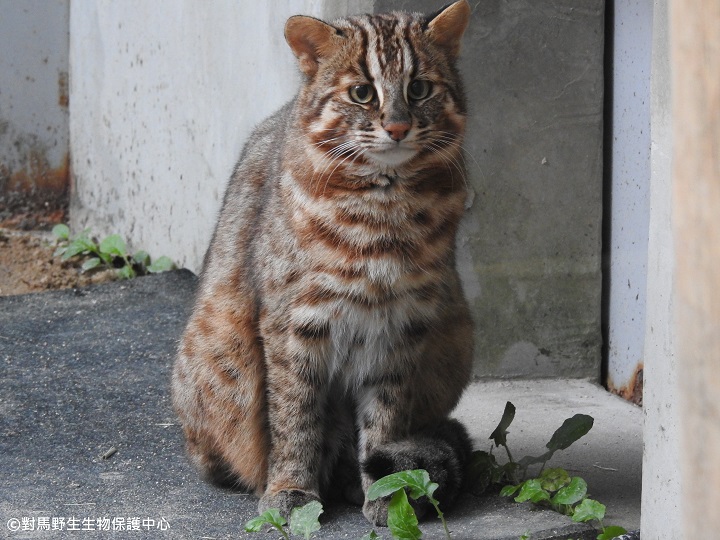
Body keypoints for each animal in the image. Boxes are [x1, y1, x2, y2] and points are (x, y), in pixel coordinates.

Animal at [174, 0, 476, 528]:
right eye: (362, 93)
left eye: (419, 88)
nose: (398, 127)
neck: (384, 208)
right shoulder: (293, 320)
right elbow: (295, 416)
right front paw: (290, 490)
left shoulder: (404, 323)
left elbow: (385, 420)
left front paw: (389, 493)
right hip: (218, 349)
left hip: (456, 332)